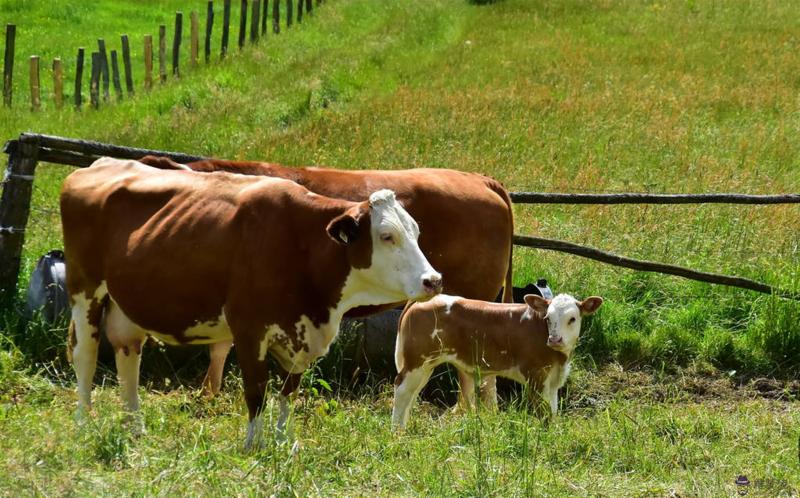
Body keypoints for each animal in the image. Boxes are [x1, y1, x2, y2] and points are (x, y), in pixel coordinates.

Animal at [63, 157, 444, 448]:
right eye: (386, 236)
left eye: (416, 232)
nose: (434, 280)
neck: (300, 244)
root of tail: (101, 163)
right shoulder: (249, 330)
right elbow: (257, 391)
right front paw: (253, 445)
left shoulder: (301, 333)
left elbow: (289, 392)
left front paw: (283, 442)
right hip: (85, 291)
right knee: (86, 356)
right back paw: (83, 423)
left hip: (126, 304)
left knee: (128, 357)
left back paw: (135, 427)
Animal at [390, 294, 604, 430]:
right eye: (548, 317)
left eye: (572, 318)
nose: (555, 339)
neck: (560, 359)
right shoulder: (536, 376)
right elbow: (544, 412)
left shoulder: (552, 381)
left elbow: (552, 410)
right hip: (417, 361)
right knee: (401, 390)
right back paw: (397, 432)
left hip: (424, 366)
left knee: (411, 394)